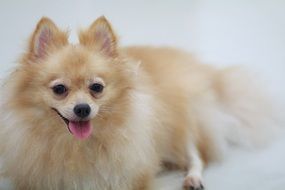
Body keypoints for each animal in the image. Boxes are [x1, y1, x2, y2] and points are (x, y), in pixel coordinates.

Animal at [0, 16, 280, 190]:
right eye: (59, 89)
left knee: (195, 155)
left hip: (181, 121)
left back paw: (192, 178)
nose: (82, 109)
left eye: (96, 88)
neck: (77, 146)